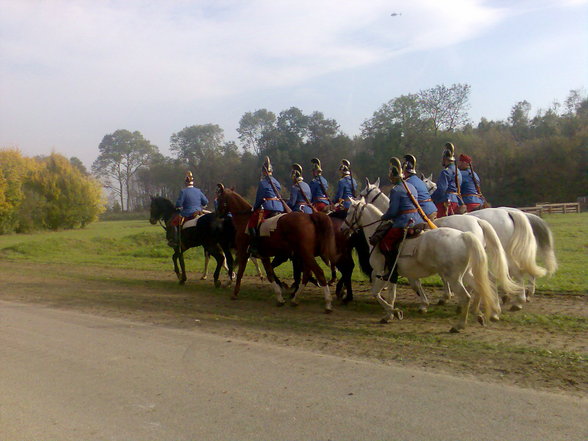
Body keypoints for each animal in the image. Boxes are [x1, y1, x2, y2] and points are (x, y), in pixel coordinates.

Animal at [216, 184, 338, 312]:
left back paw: (327, 303)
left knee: (318, 273)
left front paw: (234, 292)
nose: (217, 213)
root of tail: (310, 216)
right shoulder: (263, 255)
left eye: (219, 198)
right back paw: (295, 298)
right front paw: (280, 298)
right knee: (307, 274)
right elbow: (269, 274)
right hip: (304, 255)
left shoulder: (243, 252)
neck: (245, 219)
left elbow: (240, 272)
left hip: (305, 254)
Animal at [340, 199, 500, 330]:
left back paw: (459, 325)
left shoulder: (379, 272)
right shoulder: (392, 274)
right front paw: (389, 315)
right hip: (466, 274)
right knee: (481, 287)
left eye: (348, 212)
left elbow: (376, 293)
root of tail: (463, 235)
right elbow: (392, 295)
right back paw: (480, 314)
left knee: (467, 296)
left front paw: (395, 312)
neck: (379, 235)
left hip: (454, 278)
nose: (342, 229)